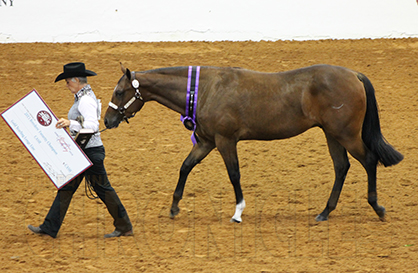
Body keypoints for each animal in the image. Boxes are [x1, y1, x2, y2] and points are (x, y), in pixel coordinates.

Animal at [103, 64, 404, 223]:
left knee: (368, 160)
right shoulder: (206, 142)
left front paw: (238, 211)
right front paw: (174, 207)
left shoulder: (225, 141)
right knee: (341, 167)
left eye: (119, 92)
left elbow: (234, 174)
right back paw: (324, 212)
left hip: (346, 134)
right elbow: (185, 167)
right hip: (332, 135)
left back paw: (377, 207)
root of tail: (354, 75)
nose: (107, 120)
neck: (204, 90)